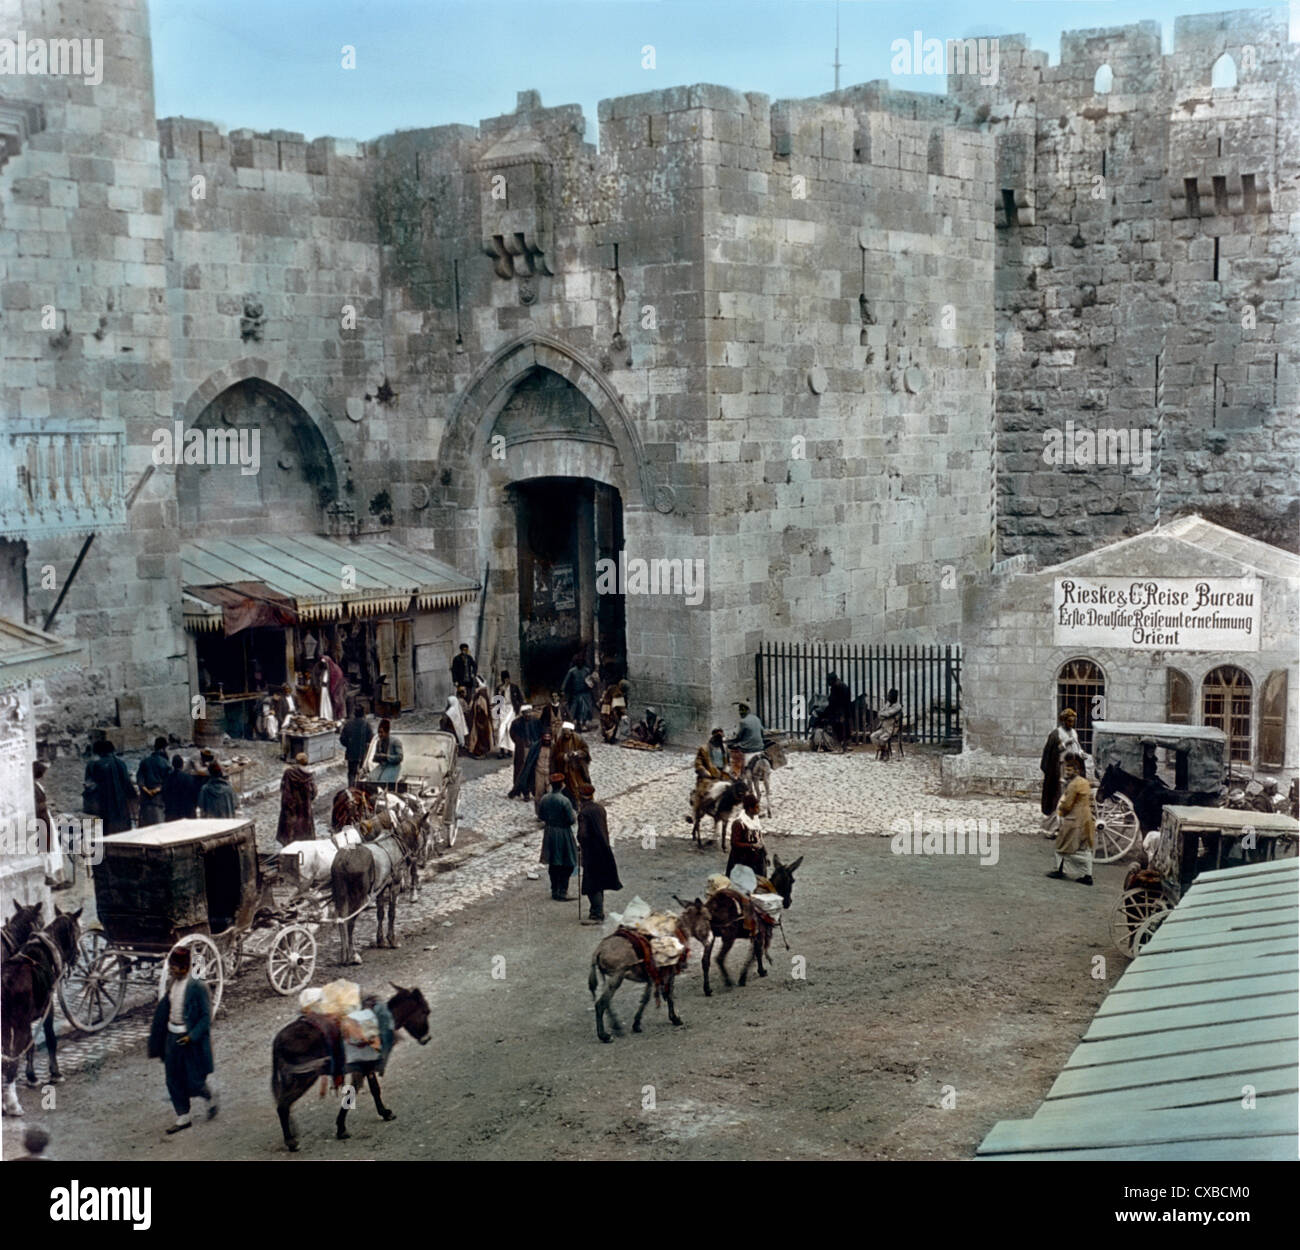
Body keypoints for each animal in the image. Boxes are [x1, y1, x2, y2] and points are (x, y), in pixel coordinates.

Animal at [269, 982, 431, 1148]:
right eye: (426, 1011)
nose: (427, 1039)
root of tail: (277, 1041)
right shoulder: (364, 1067)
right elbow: (353, 1094)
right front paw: (342, 1129)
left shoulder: (365, 1067)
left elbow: (373, 1089)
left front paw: (384, 1113)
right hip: (304, 1077)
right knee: (283, 1106)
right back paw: (291, 1142)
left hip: (292, 1078)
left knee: (283, 1102)